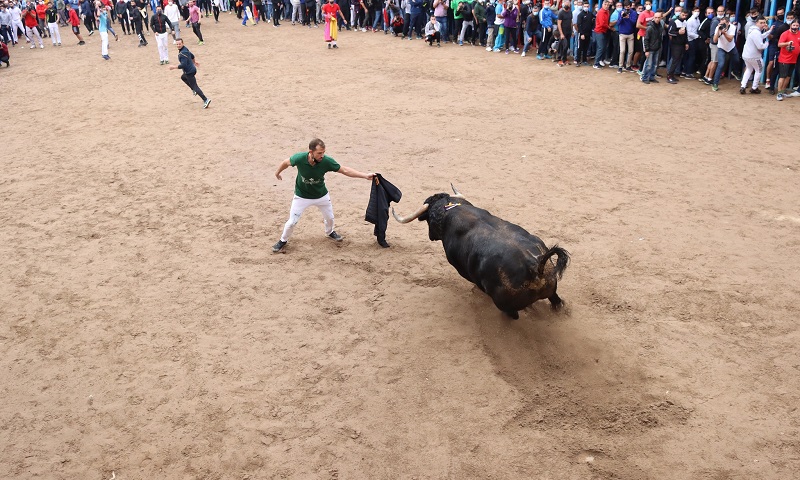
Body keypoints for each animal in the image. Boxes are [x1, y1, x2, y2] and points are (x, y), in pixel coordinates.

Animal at [394, 188, 568, 318]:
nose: (431, 236)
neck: (450, 210)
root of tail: (534, 266)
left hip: (505, 305)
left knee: (512, 314)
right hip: (552, 290)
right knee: (556, 301)